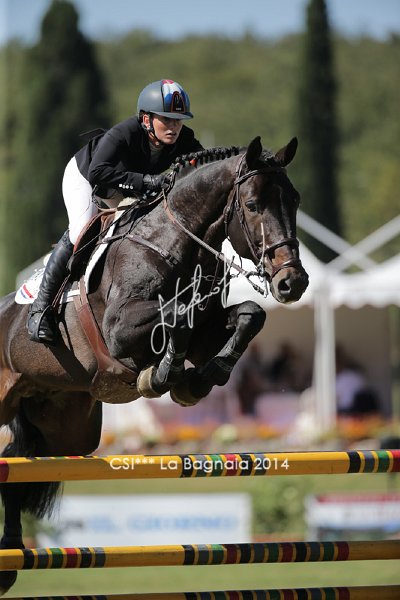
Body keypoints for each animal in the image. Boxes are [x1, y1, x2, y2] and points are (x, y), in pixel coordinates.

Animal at [0, 136, 308, 594]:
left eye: (295, 199)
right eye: (253, 205)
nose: (293, 283)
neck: (173, 241)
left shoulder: (207, 330)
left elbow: (250, 315)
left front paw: (199, 380)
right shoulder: (120, 328)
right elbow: (177, 313)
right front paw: (163, 376)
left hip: (65, 429)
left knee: (18, 469)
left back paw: (10, 554)